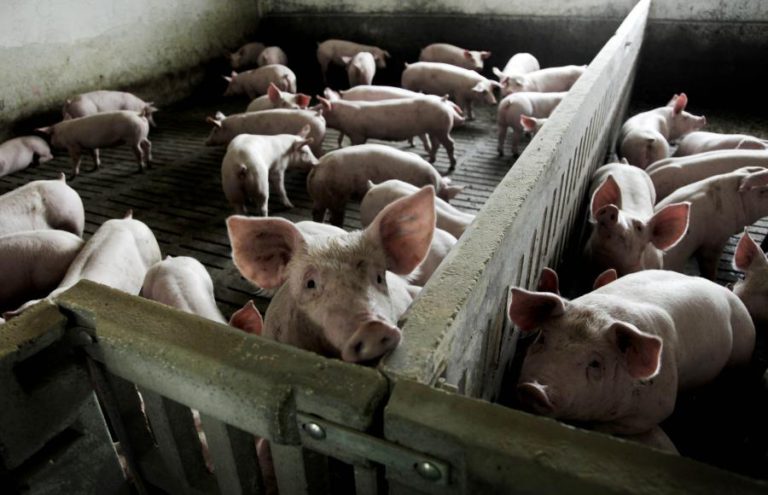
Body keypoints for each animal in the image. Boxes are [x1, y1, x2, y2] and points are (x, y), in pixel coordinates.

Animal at [307, 144, 462, 226]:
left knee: (317, 212)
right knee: (335, 216)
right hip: (337, 193)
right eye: (447, 199)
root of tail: (318, 165)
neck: (437, 185)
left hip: (319, 195)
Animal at [316, 96, 458, 169]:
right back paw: (431, 160)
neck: (341, 116)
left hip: (442, 129)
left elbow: (356, 145)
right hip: (434, 130)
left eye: (319, 107)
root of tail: (443, 101)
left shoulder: (357, 133)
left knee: (450, 144)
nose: (311, 108)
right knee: (436, 144)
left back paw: (452, 165)